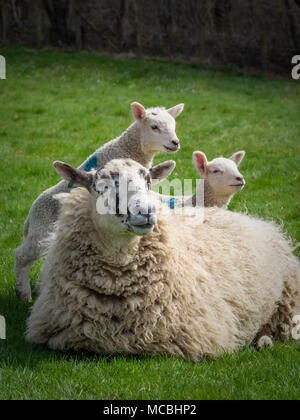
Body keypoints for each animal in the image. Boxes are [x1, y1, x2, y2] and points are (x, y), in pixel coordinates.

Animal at [15, 101, 184, 302]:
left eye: (174, 125)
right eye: (154, 127)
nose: (175, 143)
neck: (128, 149)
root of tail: (30, 213)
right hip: (40, 234)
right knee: (21, 256)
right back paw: (24, 295)